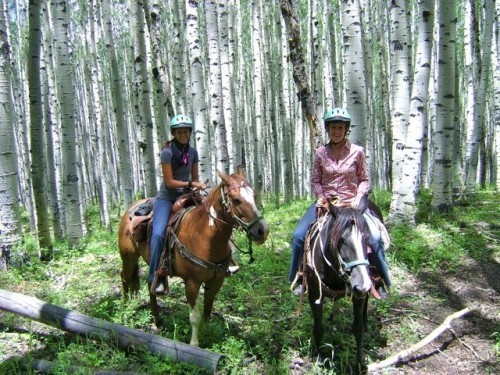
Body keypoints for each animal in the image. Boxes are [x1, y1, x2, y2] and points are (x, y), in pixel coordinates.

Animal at [117, 169, 270, 348]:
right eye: (236, 199)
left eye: (253, 195)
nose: (263, 231)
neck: (205, 236)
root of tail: (130, 209)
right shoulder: (192, 283)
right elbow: (195, 317)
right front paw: (194, 343)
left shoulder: (216, 280)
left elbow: (207, 311)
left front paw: (208, 333)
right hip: (129, 257)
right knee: (126, 278)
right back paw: (126, 309)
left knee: (149, 285)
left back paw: (157, 320)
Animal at [300, 200, 376, 374]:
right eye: (340, 240)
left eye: (366, 239)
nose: (362, 285)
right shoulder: (314, 295)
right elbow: (318, 327)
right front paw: (317, 357)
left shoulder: (358, 295)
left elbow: (358, 328)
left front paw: (360, 363)